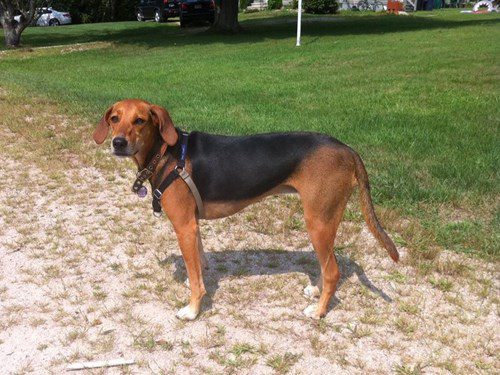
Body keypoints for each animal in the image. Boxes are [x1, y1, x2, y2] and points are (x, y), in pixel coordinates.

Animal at [93, 98, 398, 322]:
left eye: (140, 120)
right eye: (114, 118)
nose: (117, 143)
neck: (164, 153)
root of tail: (347, 149)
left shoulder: (184, 226)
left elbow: (195, 278)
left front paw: (192, 309)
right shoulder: (193, 225)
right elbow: (198, 263)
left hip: (318, 221)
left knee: (333, 271)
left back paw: (319, 311)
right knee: (326, 267)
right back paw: (316, 291)